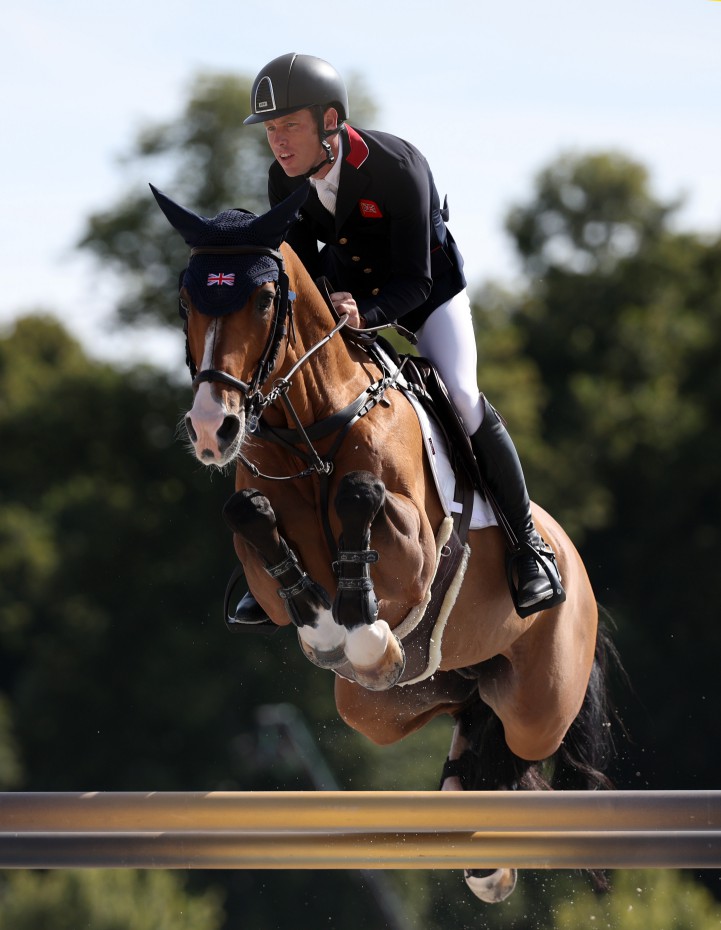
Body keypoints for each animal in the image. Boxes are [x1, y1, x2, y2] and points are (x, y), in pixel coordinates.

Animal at [152, 181, 612, 900]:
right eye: (185, 299)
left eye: (263, 299)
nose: (212, 429)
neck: (312, 427)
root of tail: (576, 566)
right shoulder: (265, 570)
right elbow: (247, 514)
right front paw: (330, 632)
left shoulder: (417, 554)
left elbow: (361, 498)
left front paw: (362, 633)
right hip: (384, 705)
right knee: (465, 704)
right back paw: (477, 827)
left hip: (541, 698)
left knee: (520, 733)